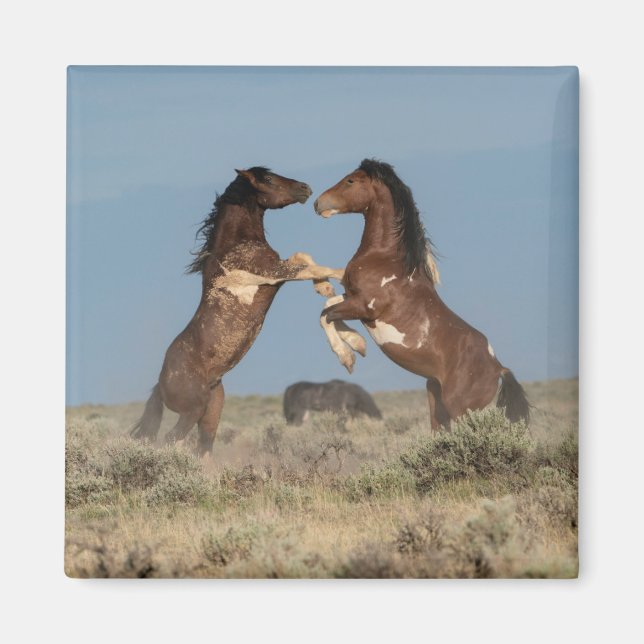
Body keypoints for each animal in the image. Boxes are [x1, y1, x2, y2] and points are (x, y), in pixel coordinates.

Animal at [131, 167, 365, 455]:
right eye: (268, 179)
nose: (305, 188)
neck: (235, 245)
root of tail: (161, 383)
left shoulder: (279, 270)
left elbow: (305, 258)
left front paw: (324, 288)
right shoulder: (274, 272)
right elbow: (311, 265)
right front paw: (343, 277)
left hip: (211, 411)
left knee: (202, 449)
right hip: (191, 411)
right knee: (169, 441)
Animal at [313, 159, 529, 429]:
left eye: (350, 180)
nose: (318, 203)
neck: (385, 258)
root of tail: (498, 367)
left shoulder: (365, 307)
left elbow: (326, 315)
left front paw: (348, 357)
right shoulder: (351, 297)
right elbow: (328, 306)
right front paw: (358, 344)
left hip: (460, 409)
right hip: (435, 397)